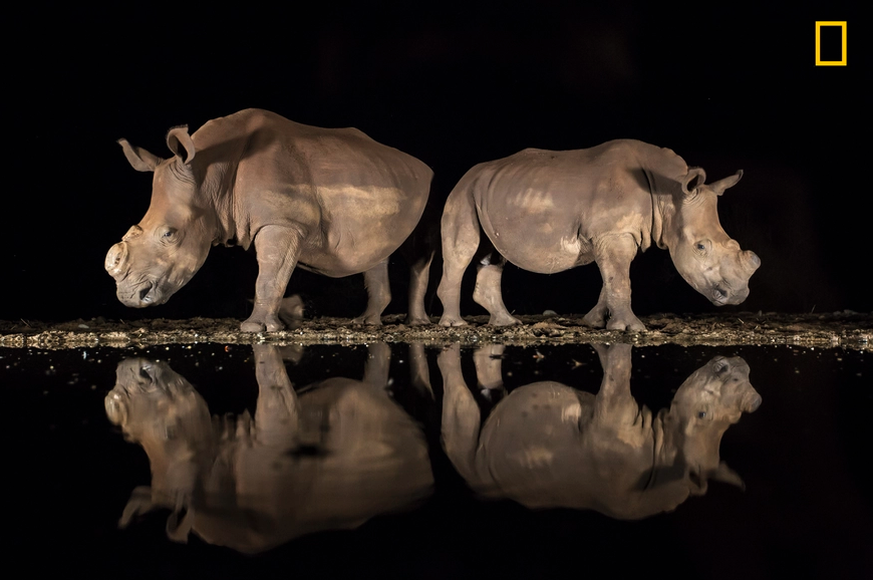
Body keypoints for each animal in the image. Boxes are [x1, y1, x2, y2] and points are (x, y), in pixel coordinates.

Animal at [106, 108, 436, 330]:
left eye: (169, 234)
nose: (129, 297)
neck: (210, 172)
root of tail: (419, 164)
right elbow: (272, 272)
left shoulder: (283, 221)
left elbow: (270, 272)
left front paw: (256, 328)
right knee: (377, 250)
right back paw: (366, 323)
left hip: (428, 188)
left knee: (418, 252)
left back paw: (418, 324)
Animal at [440, 139, 760, 330]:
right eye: (701, 247)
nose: (738, 295)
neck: (669, 192)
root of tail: (469, 174)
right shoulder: (613, 232)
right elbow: (621, 280)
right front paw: (631, 328)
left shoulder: (618, 233)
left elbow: (613, 278)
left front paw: (594, 322)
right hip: (463, 193)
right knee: (463, 250)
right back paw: (455, 325)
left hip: (489, 193)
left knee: (492, 254)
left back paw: (507, 323)